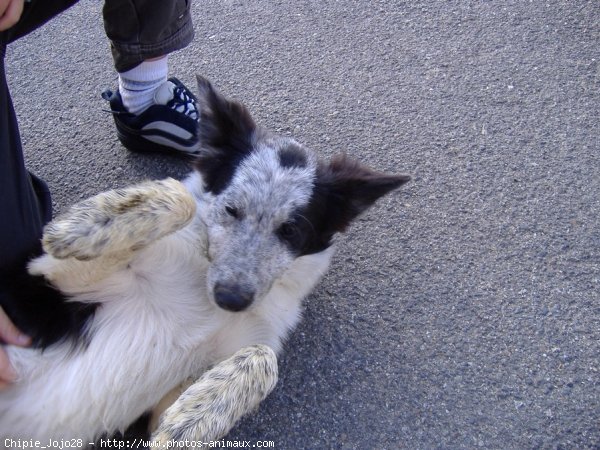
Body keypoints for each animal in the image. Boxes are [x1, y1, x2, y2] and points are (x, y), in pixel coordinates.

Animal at [0, 75, 410, 444]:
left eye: (291, 230)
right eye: (230, 209)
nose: (231, 299)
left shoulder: (173, 395)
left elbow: (264, 359)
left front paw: (195, 418)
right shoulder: (46, 277)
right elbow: (181, 199)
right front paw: (78, 227)